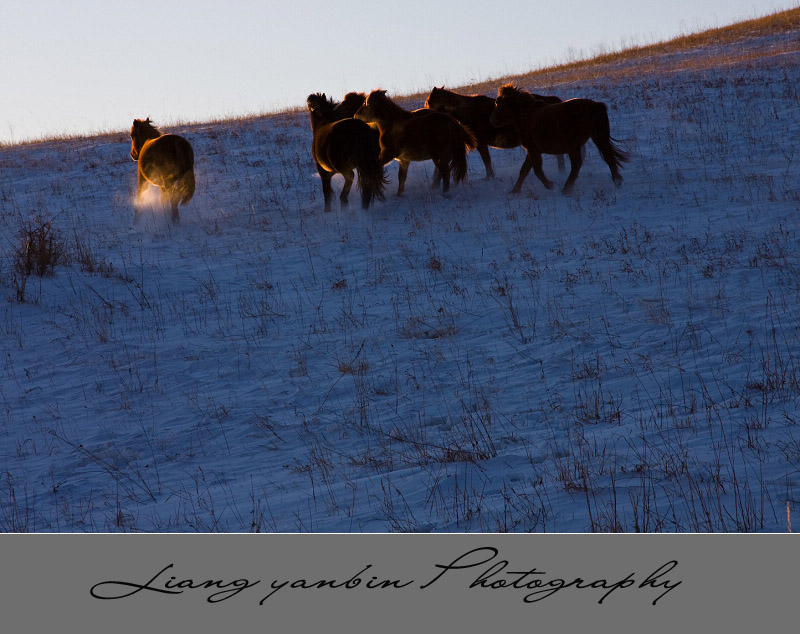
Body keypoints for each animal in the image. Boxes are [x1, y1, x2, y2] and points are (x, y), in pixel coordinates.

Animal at [422, 84, 564, 178]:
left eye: (428, 102)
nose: (425, 113)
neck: (466, 111)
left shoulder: (480, 143)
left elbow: (486, 160)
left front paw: (489, 177)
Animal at [488, 84, 632, 194]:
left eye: (498, 103)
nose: (492, 121)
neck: (526, 116)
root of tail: (595, 105)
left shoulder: (533, 150)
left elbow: (537, 170)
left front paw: (551, 185)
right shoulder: (532, 150)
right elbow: (524, 170)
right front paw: (514, 191)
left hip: (574, 144)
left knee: (577, 164)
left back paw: (566, 189)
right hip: (598, 137)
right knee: (608, 157)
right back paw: (617, 181)